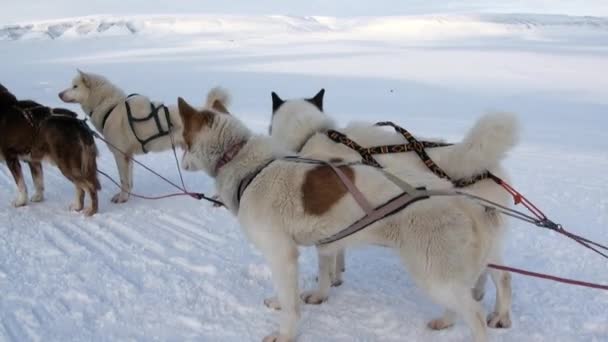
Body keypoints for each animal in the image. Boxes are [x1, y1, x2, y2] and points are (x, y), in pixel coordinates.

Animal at [0, 84, 100, 215]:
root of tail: (79, 124)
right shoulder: (33, 161)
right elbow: (38, 182)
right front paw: (38, 197)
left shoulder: (11, 157)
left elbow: (21, 185)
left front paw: (21, 202)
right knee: (80, 187)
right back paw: (77, 207)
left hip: (67, 166)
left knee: (90, 187)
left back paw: (91, 211)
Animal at [58, 70, 228, 202]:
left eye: (75, 86)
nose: (59, 93)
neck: (110, 107)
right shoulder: (129, 156)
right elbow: (129, 181)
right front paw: (127, 196)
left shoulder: (120, 155)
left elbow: (123, 181)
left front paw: (122, 198)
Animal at [270, 89, 516, 330]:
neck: (310, 135)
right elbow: (338, 253)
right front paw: (337, 275)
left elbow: (325, 262)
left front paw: (321, 291)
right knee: (495, 274)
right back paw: (490, 304)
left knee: (497, 277)